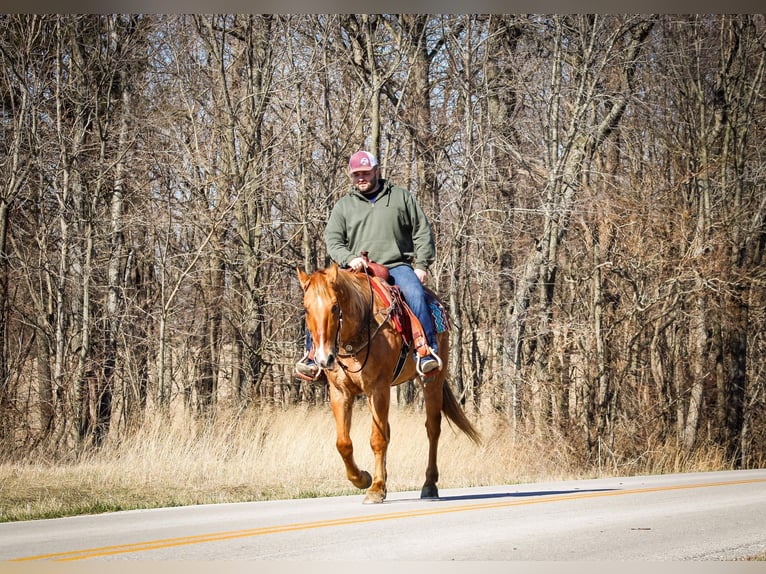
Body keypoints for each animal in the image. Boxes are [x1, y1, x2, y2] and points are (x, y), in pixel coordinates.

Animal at [298, 264, 480, 504]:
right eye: (306, 309)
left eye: (335, 307)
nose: (323, 358)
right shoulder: (340, 393)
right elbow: (344, 443)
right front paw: (363, 479)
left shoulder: (378, 389)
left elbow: (377, 439)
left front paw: (375, 488)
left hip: (432, 381)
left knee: (433, 429)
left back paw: (429, 485)